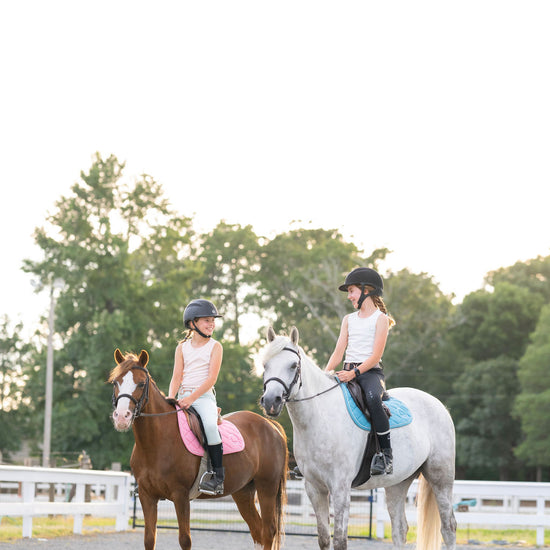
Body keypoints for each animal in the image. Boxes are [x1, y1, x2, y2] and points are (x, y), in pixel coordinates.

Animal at [108, 352, 288, 548]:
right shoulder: (146, 496)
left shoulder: (180, 495)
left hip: (266, 487)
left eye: (141, 383)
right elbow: (149, 540)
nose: (121, 417)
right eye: (116, 382)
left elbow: (185, 540)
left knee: (268, 531)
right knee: (257, 531)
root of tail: (270, 424)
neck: (155, 443)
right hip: (243, 492)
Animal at [260, 330, 460, 550]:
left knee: (448, 527)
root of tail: (439, 405)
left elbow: (339, 541)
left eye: (293, 365)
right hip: (397, 483)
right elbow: (324, 539)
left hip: (440, 477)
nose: (271, 401)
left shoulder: (340, 489)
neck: (321, 417)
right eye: (265, 365)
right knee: (400, 529)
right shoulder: (314, 488)